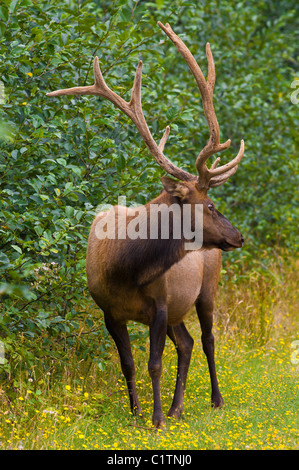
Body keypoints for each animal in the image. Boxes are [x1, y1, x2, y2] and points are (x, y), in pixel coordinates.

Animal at [46, 22, 244, 428]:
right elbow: (129, 364)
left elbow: (154, 364)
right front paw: (139, 413)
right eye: (211, 204)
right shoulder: (109, 311)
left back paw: (215, 400)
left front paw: (156, 421)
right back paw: (177, 407)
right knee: (187, 343)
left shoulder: (161, 303)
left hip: (207, 288)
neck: (125, 269)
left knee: (208, 339)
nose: (239, 236)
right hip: (181, 307)